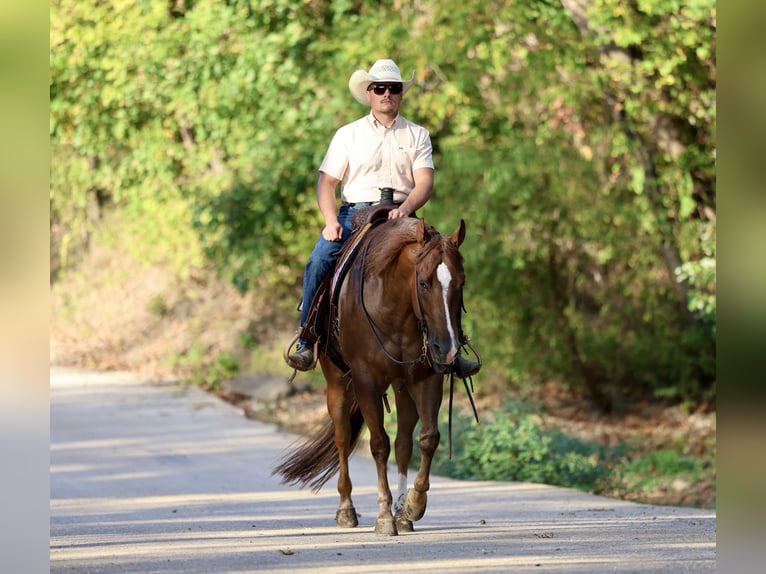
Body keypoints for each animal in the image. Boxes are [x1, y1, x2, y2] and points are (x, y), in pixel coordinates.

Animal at [274, 213, 470, 536]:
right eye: (423, 282)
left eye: (461, 282)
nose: (447, 348)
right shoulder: (366, 382)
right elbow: (379, 445)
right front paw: (384, 517)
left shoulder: (426, 377)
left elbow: (428, 438)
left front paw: (413, 505)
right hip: (338, 383)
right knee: (342, 438)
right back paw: (346, 510)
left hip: (403, 387)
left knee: (403, 442)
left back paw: (403, 513)